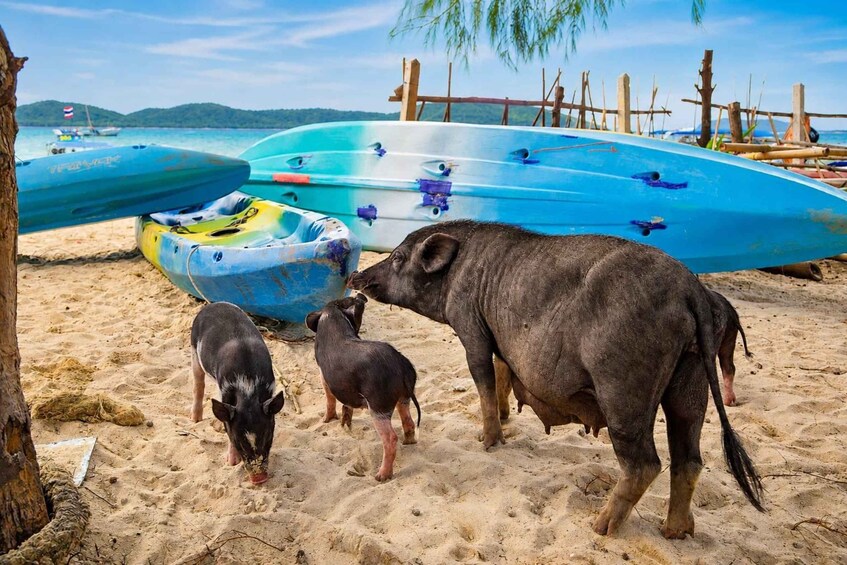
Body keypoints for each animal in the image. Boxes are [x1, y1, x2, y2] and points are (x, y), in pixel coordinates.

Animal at [190, 302, 286, 485]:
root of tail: (214, 304)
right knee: (198, 383)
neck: (247, 387)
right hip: (193, 350)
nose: (259, 479)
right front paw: (232, 463)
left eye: (267, 437)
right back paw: (195, 419)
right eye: (238, 442)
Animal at [306, 294, 421, 481]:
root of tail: (401, 365)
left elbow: (329, 399)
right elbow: (347, 405)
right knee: (409, 421)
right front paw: (344, 424)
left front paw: (325, 420)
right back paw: (409, 443)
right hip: (404, 397)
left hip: (378, 405)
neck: (332, 318)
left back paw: (381, 476)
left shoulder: (323, 376)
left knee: (390, 438)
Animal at [348, 220, 763, 538]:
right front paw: (504, 422)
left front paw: (487, 441)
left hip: (623, 387)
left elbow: (483, 376)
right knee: (688, 459)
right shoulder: (500, 337)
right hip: (690, 377)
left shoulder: (470, 322)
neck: (456, 272)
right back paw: (676, 532)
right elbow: (503, 371)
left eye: (398, 257)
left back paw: (600, 527)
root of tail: (690, 288)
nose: (357, 274)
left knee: (645, 463)